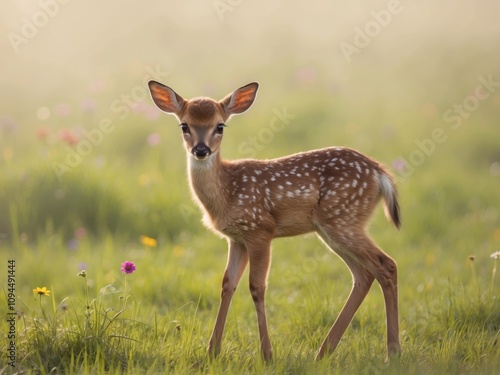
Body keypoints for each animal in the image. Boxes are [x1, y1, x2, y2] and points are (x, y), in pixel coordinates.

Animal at [146, 81, 400, 362]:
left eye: (220, 126)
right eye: (184, 125)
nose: (201, 150)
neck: (227, 192)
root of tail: (380, 173)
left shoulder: (260, 229)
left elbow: (257, 287)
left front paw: (267, 354)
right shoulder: (236, 238)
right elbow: (227, 284)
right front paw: (213, 351)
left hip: (343, 219)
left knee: (386, 265)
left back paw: (392, 352)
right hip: (334, 227)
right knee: (363, 274)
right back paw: (323, 352)